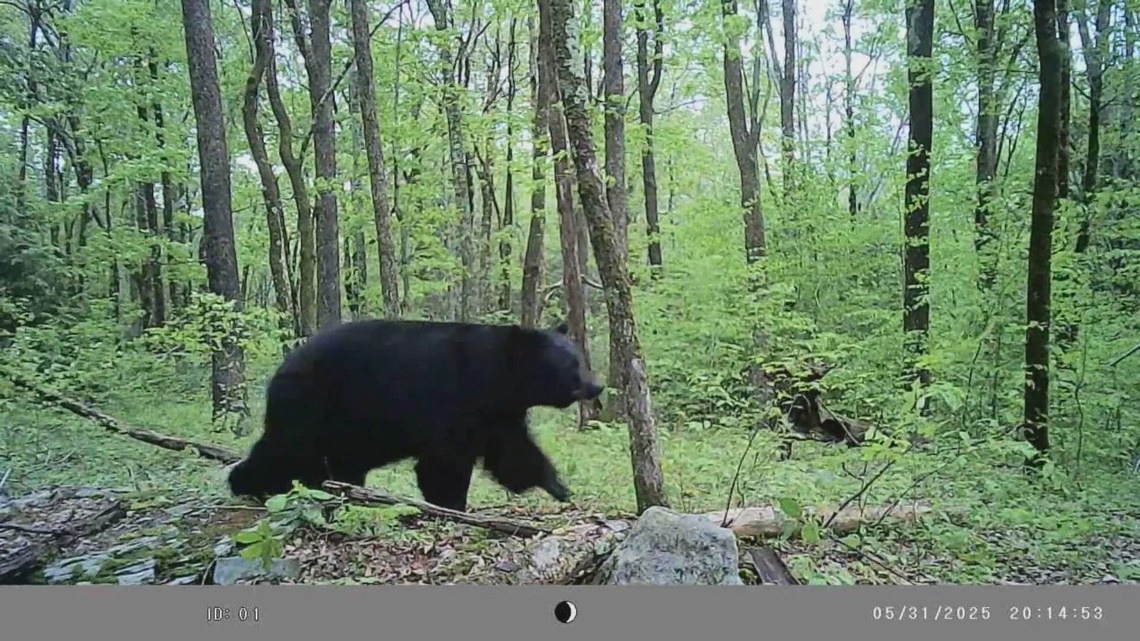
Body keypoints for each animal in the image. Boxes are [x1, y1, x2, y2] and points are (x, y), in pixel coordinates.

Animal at [226, 318, 604, 512]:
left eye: (581, 359)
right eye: (572, 366)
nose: (597, 386)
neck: (495, 378)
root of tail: (283, 366)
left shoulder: (496, 414)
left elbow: (513, 453)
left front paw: (559, 486)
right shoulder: (451, 402)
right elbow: (444, 464)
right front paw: (452, 505)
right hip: (315, 407)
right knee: (287, 450)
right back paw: (250, 484)